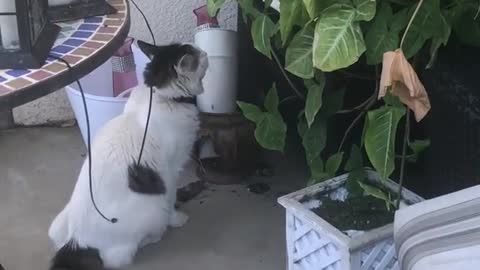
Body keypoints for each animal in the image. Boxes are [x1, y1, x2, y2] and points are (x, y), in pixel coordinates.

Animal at [47, 40, 209, 270]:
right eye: (197, 56)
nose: (205, 52)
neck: (158, 95)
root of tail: (77, 241)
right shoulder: (171, 171)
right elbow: (172, 198)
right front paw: (177, 218)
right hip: (153, 209)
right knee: (118, 258)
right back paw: (153, 237)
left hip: (57, 225)